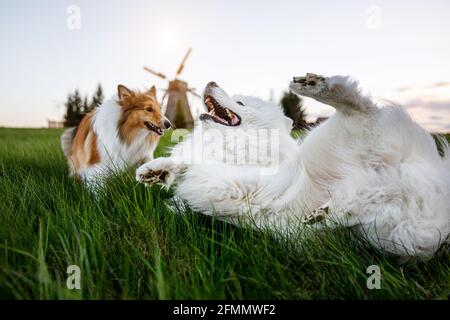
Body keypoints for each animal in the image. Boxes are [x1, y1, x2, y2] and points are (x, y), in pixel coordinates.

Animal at [137, 76, 450, 258]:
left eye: (239, 102)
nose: (212, 79)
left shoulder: (239, 182)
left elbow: (199, 168)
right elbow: (185, 163)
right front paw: (156, 171)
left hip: (337, 137)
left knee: (361, 109)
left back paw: (317, 86)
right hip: (390, 234)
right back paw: (326, 213)